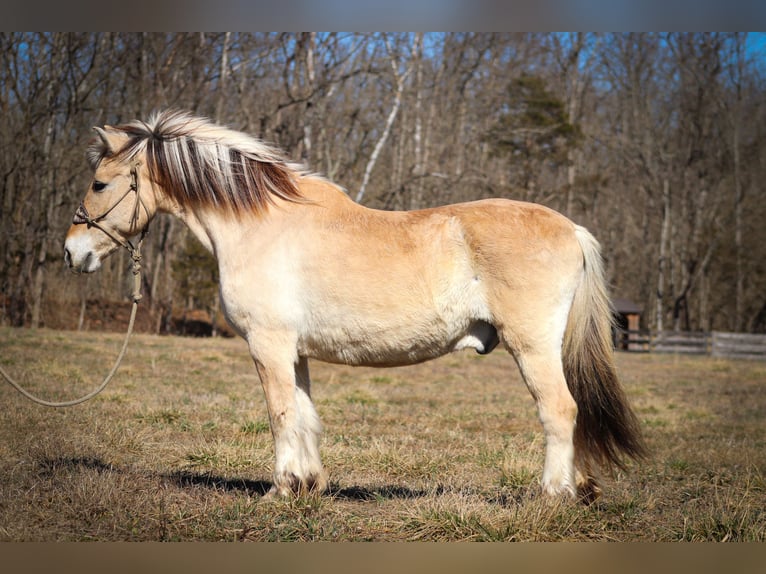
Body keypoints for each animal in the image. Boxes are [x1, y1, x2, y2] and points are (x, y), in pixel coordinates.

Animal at [63, 108, 644, 504]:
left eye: (100, 183)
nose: (73, 252)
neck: (260, 225)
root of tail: (571, 228)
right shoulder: (294, 351)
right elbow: (304, 414)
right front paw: (309, 484)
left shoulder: (268, 345)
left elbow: (279, 413)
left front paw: (280, 490)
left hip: (533, 347)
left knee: (560, 410)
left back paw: (552, 495)